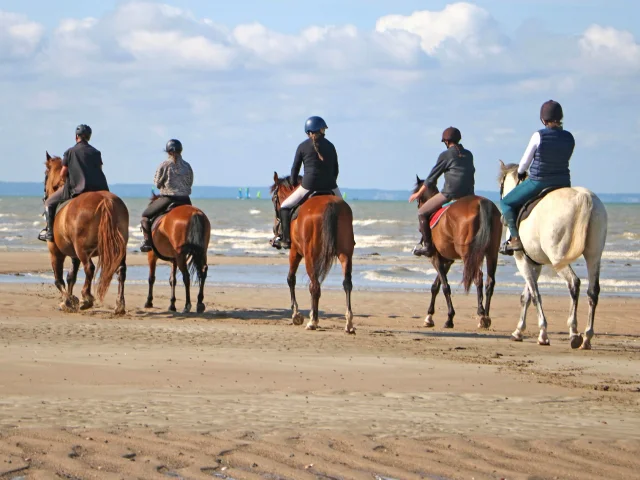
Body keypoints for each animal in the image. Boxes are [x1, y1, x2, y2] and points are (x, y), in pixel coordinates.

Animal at [43, 152, 129, 314]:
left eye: (46, 174)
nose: (45, 196)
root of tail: (105, 200)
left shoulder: (56, 252)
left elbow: (59, 280)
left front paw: (68, 301)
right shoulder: (74, 255)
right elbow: (71, 276)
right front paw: (70, 299)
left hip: (82, 249)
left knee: (89, 268)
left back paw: (86, 298)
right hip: (118, 249)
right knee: (121, 271)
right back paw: (119, 305)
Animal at [272, 173, 358, 334]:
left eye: (274, 199)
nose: (275, 229)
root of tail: (331, 205)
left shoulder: (295, 251)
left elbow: (290, 279)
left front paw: (296, 315)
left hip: (310, 256)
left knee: (315, 286)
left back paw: (313, 322)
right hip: (346, 254)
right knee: (347, 284)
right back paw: (349, 323)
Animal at [412, 176, 502, 330]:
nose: (418, 206)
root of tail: (481, 202)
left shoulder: (435, 258)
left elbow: (445, 287)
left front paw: (449, 318)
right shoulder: (447, 261)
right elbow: (435, 286)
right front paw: (429, 317)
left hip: (469, 255)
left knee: (478, 278)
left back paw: (481, 314)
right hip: (491, 253)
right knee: (489, 282)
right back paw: (485, 317)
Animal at [498, 161, 608, 348]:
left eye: (501, 185)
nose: (502, 220)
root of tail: (584, 197)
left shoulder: (522, 260)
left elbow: (535, 295)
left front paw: (542, 334)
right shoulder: (535, 263)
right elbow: (526, 296)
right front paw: (518, 331)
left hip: (558, 258)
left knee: (574, 283)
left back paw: (574, 332)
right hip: (594, 257)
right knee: (593, 291)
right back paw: (587, 337)